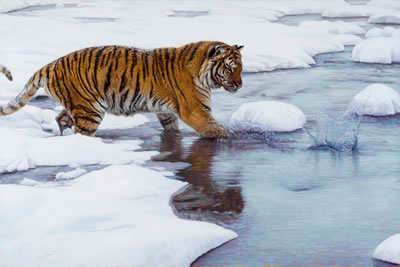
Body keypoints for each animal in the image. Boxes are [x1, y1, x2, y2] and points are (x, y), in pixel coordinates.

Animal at [0, 42, 244, 139]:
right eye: (230, 68)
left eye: (241, 68)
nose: (240, 84)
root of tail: (49, 65)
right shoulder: (195, 109)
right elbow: (214, 128)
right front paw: (227, 139)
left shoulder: (165, 111)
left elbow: (171, 128)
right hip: (89, 110)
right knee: (80, 131)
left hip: (77, 106)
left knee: (61, 118)